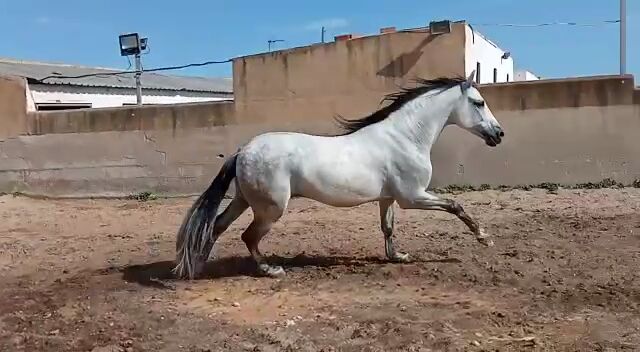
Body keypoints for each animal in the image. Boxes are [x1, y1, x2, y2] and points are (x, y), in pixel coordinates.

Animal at [175, 71, 504, 280]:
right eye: (479, 103)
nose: (498, 134)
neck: (405, 137)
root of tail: (243, 150)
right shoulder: (413, 197)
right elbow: (456, 206)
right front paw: (484, 238)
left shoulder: (388, 198)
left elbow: (387, 228)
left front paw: (397, 257)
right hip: (270, 209)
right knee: (248, 236)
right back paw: (270, 271)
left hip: (244, 200)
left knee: (216, 226)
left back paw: (198, 266)